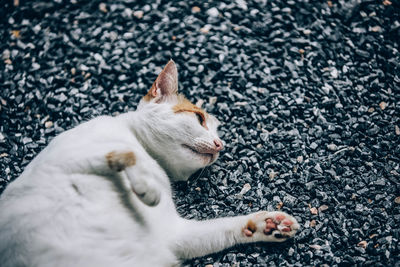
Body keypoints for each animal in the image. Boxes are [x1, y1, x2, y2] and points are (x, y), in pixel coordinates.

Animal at [0, 60, 300, 267]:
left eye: (217, 133)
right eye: (199, 119)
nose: (219, 145)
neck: (155, 161)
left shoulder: (174, 234)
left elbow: (224, 229)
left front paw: (268, 224)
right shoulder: (61, 164)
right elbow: (123, 154)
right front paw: (149, 189)